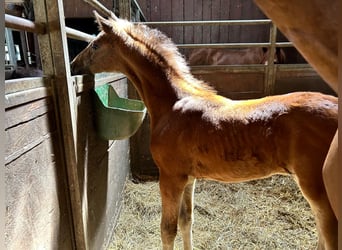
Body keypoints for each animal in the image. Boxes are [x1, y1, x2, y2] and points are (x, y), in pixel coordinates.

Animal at [71, 12, 338, 250]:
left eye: (95, 45)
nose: (73, 65)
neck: (174, 103)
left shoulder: (170, 177)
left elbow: (168, 230)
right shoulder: (188, 178)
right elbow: (187, 221)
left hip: (318, 190)